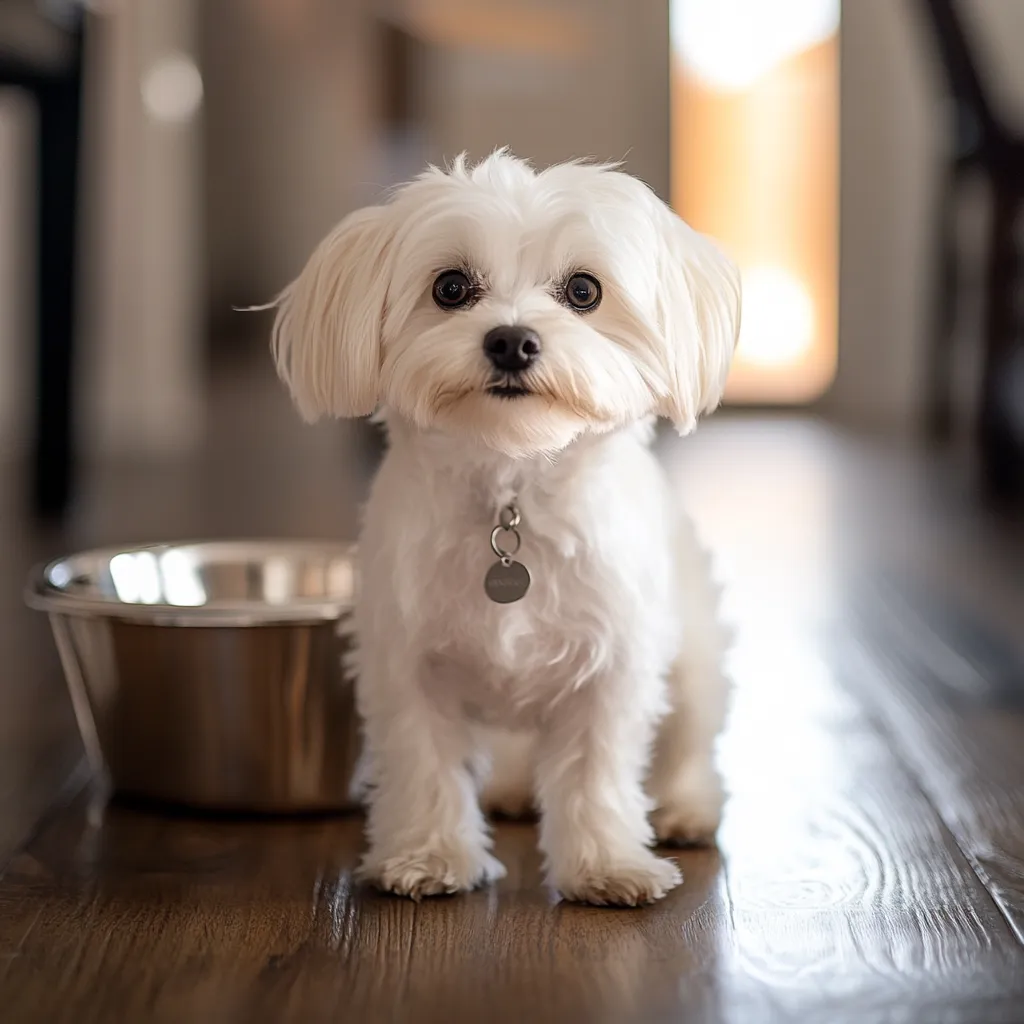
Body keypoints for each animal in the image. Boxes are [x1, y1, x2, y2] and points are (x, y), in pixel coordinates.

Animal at [270, 149, 737, 905]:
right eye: (451, 287)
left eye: (584, 290)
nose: (512, 340)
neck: (511, 485)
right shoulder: (407, 664)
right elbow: (425, 764)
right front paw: (429, 856)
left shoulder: (613, 666)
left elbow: (598, 774)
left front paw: (607, 865)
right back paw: (516, 790)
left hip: (694, 656)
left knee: (690, 739)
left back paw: (685, 808)